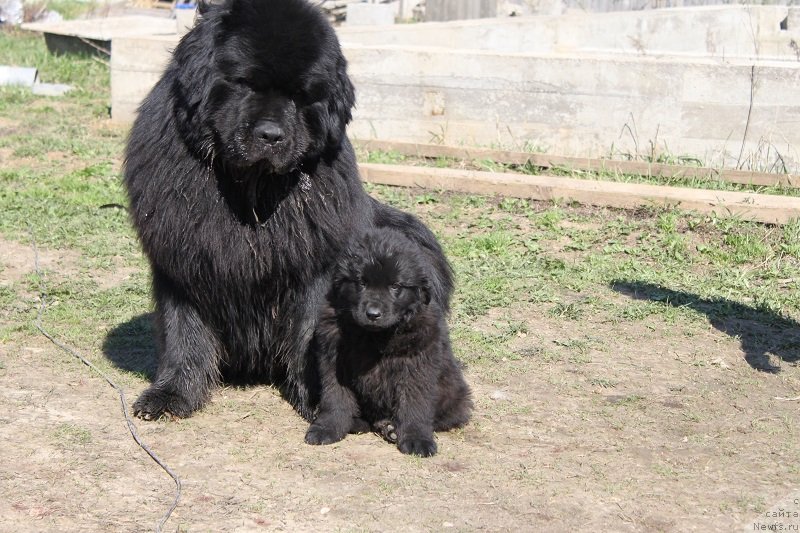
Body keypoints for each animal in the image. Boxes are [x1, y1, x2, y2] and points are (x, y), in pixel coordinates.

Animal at [123, 0, 450, 422]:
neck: (250, 193)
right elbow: (183, 331)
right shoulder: (181, 260)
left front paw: (321, 399)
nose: (271, 135)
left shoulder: (316, 265)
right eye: (245, 83)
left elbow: (311, 331)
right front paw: (171, 393)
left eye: (301, 95)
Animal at [304, 227, 468, 456]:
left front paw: (417, 439)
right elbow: (335, 396)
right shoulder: (334, 358)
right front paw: (327, 428)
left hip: (452, 391)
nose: (373, 314)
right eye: (361, 283)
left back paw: (391, 428)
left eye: (395, 286)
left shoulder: (417, 363)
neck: (376, 336)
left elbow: (414, 403)